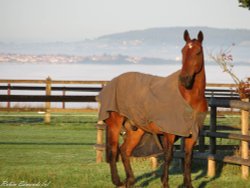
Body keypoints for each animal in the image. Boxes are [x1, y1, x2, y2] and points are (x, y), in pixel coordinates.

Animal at [97, 30, 207, 187]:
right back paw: (118, 181)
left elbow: (188, 158)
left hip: (137, 130)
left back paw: (130, 180)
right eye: (183, 51)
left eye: (197, 52)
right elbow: (168, 156)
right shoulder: (169, 132)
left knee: (125, 151)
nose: (184, 79)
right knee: (113, 150)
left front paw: (188, 184)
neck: (189, 97)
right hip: (115, 124)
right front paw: (165, 183)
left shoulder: (192, 134)